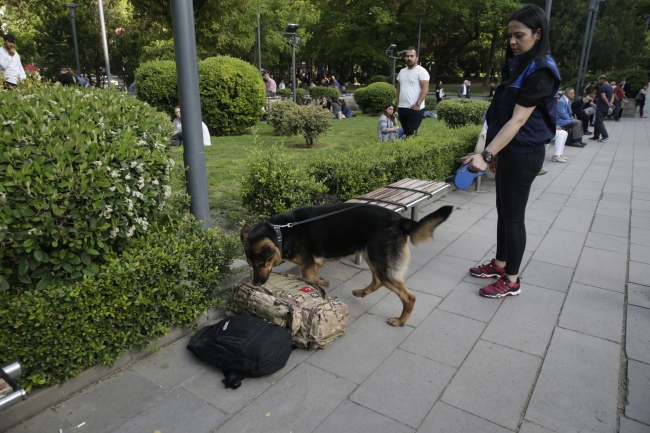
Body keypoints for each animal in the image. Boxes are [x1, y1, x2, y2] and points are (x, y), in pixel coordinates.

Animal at [238, 204, 450, 326]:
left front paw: (320, 285)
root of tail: (401, 219)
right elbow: (312, 279)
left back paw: (400, 321)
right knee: (377, 281)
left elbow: (309, 280)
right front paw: (322, 283)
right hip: (372, 257)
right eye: (251, 264)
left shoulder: (310, 265)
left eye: (261, 263)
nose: (256, 284)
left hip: (380, 262)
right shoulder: (312, 265)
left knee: (408, 297)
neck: (281, 232)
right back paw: (362, 292)